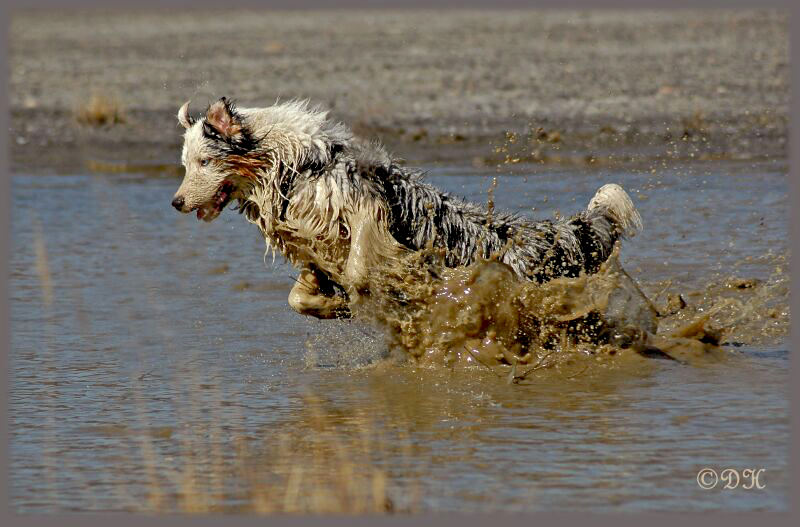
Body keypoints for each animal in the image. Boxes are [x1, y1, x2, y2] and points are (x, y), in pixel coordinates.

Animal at [170, 97, 656, 332]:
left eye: (204, 162)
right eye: (185, 164)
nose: (175, 203)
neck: (289, 167)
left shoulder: (367, 205)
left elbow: (362, 266)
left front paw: (366, 292)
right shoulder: (310, 246)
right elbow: (301, 296)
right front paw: (332, 304)